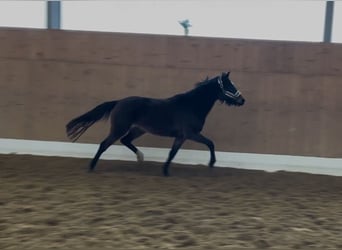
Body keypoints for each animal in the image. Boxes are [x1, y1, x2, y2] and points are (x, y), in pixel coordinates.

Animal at [65, 71, 244, 177]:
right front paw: (211, 163)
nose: (242, 100)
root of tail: (118, 102)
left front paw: (165, 170)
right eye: (230, 85)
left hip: (138, 130)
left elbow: (173, 153)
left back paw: (140, 157)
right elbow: (209, 143)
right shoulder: (189, 134)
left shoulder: (181, 136)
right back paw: (92, 166)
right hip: (119, 128)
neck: (191, 105)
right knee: (104, 144)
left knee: (125, 140)